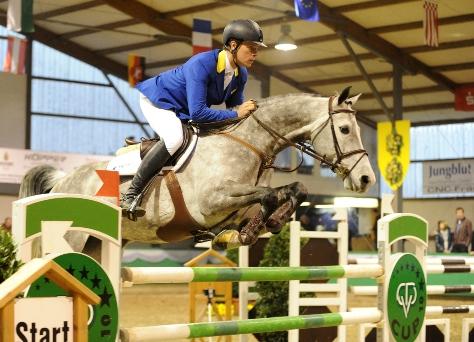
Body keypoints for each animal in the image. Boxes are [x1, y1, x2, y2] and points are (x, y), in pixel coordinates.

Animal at [18, 89, 376, 258]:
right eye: (345, 129)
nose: (366, 179)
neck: (250, 144)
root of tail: (61, 182)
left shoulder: (239, 204)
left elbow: (296, 189)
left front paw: (267, 224)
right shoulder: (212, 201)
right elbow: (270, 194)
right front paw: (249, 231)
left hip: (98, 243)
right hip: (72, 240)